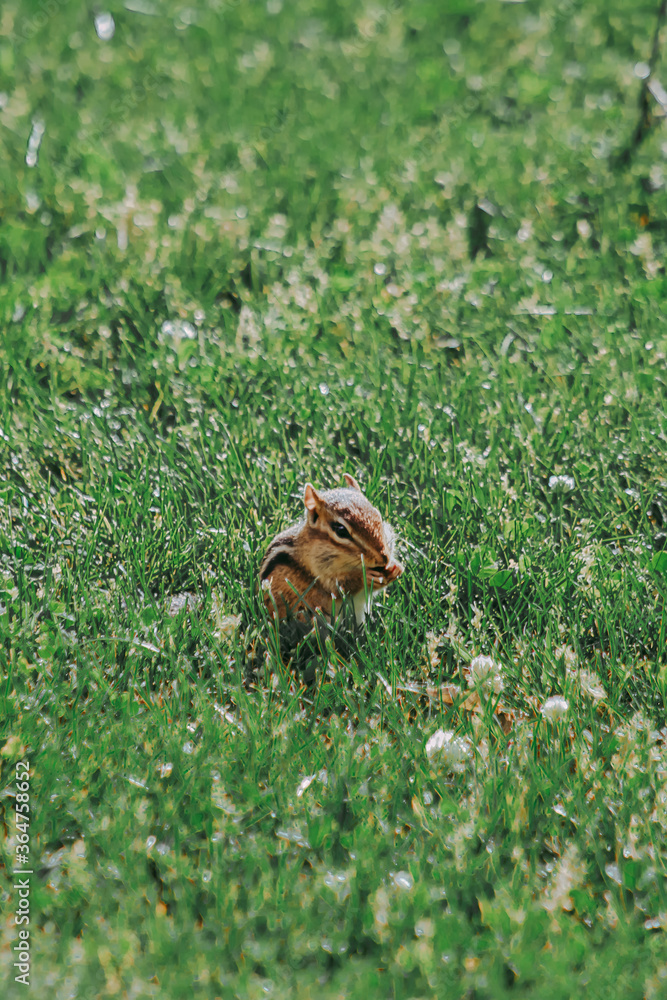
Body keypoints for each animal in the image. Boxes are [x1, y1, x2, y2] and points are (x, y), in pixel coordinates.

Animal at [259, 473, 403, 624]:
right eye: (341, 531)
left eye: (378, 516)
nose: (384, 558)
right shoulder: (318, 571)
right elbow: (339, 587)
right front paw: (365, 576)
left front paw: (396, 568)